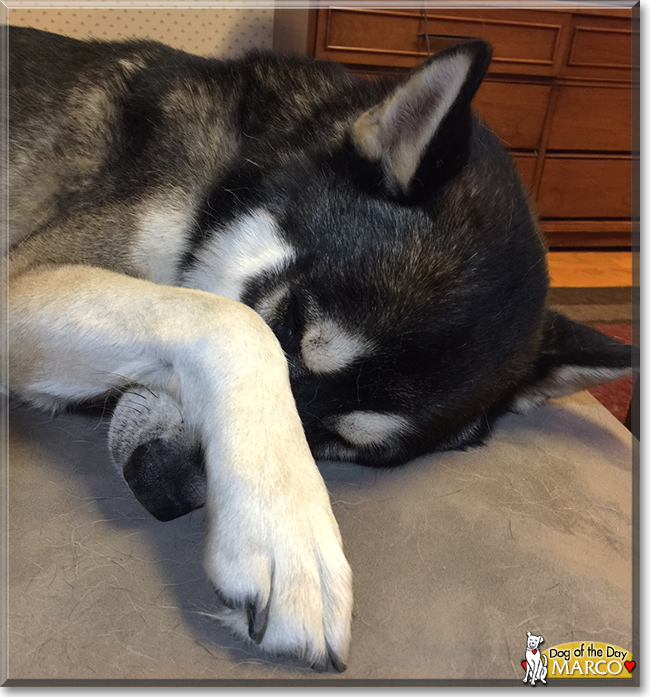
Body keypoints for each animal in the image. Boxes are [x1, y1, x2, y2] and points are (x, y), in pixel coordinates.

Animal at [5, 25, 632, 668]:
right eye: (288, 321)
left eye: (341, 442)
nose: (159, 486)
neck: (248, 152)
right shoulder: (22, 280)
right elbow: (235, 323)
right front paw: (290, 539)